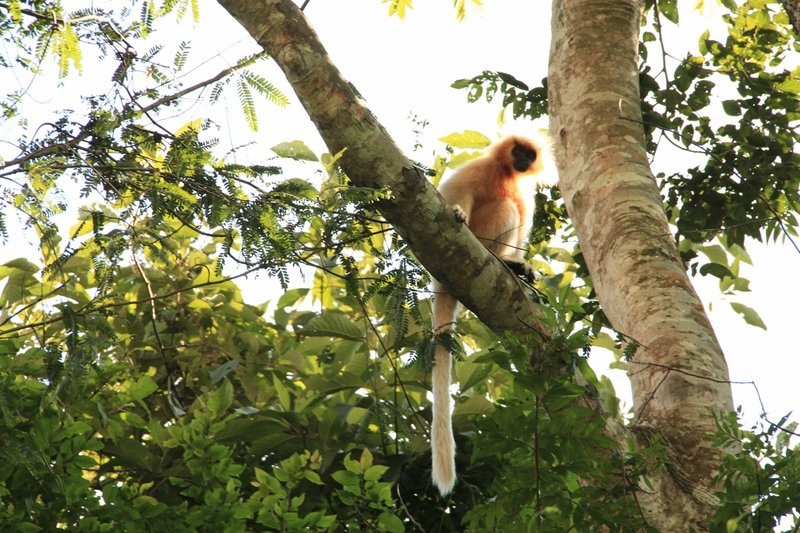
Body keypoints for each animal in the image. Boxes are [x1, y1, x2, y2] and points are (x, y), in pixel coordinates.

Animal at [432, 133, 556, 494]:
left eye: (529, 155)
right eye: (517, 151)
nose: (523, 160)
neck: (507, 173)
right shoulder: (481, 168)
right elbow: (457, 191)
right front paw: (456, 210)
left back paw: (512, 266)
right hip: (481, 230)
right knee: (505, 207)